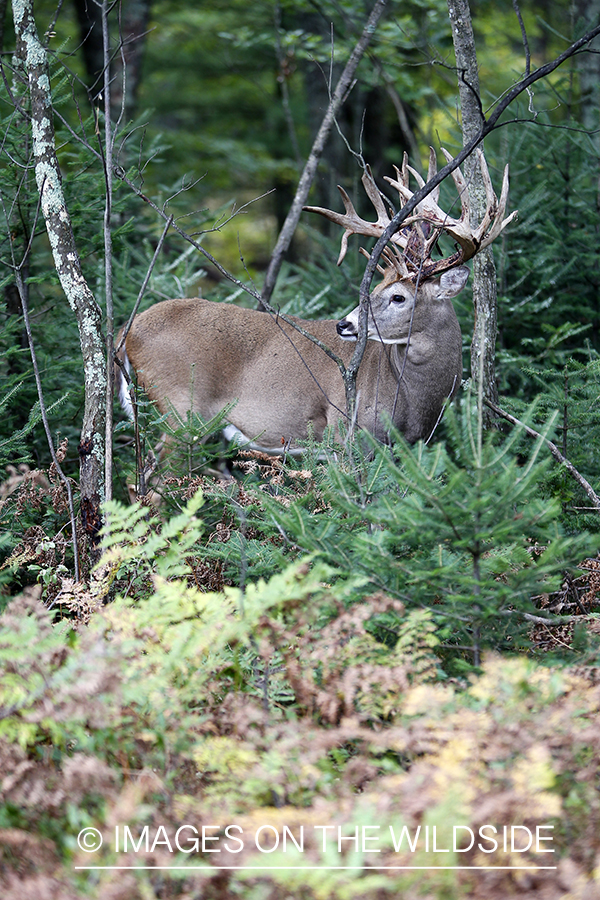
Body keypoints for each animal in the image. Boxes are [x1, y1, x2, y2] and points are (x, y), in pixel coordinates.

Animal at [117, 149, 516, 464]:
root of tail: (126, 331)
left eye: (398, 296)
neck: (412, 398)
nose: (344, 324)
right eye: (381, 288)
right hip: (182, 409)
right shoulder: (346, 432)